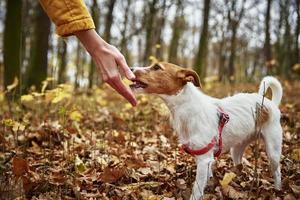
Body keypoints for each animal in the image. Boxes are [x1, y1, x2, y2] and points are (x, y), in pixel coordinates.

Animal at [130, 61, 282, 199]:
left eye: (156, 67)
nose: (130, 68)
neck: (187, 107)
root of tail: (270, 104)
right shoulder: (204, 159)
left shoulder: (204, 160)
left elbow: (196, 190)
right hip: (237, 150)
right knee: (239, 165)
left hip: (273, 151)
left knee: (277, 172)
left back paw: (278, 189)